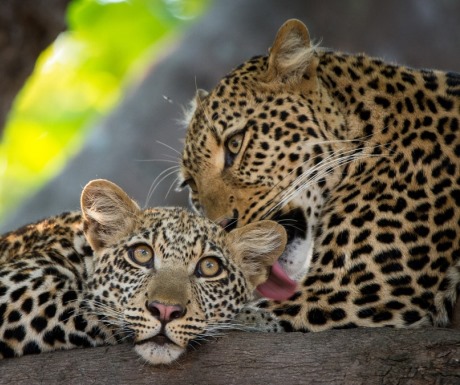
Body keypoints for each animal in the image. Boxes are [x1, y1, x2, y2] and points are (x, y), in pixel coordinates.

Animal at [0, 178, 286, 362]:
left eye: (209, 267)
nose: (165, 311)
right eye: (142, 254)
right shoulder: (16, 288)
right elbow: (95, 308)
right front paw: (263, 315)